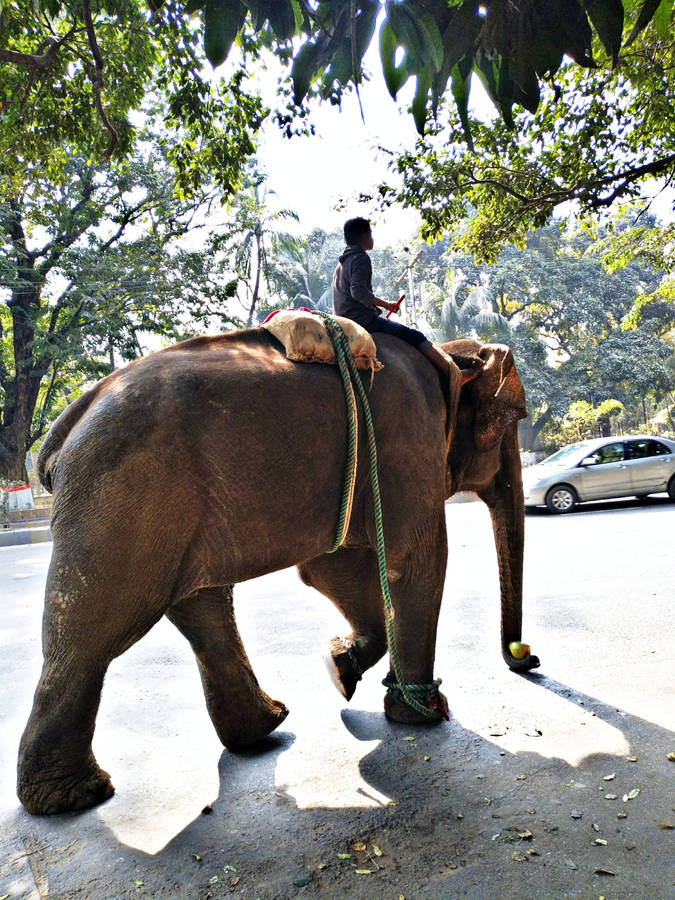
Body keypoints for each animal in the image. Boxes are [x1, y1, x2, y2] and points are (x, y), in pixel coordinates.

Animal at [17, 328, 539, 815]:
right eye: (513, 421)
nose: (527, 659)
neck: (446, 359)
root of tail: (68, 422)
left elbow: (332, 565)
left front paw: (339, 668)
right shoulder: (408, 440)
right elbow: (415, 558)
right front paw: (424, 715)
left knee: (201, 609)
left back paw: (265, 726)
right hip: (124, 499)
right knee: (93, 633)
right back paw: (76, 797)